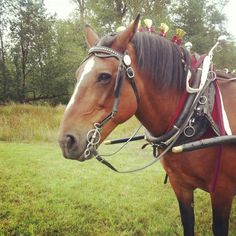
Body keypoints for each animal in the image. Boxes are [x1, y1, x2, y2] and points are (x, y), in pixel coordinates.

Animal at [58, 15, 236, 235]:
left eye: (104, 76)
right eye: (77, 75)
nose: (66, 141)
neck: (197, 112)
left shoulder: (222, 191)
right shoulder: (181, 185)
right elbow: (188, 223)